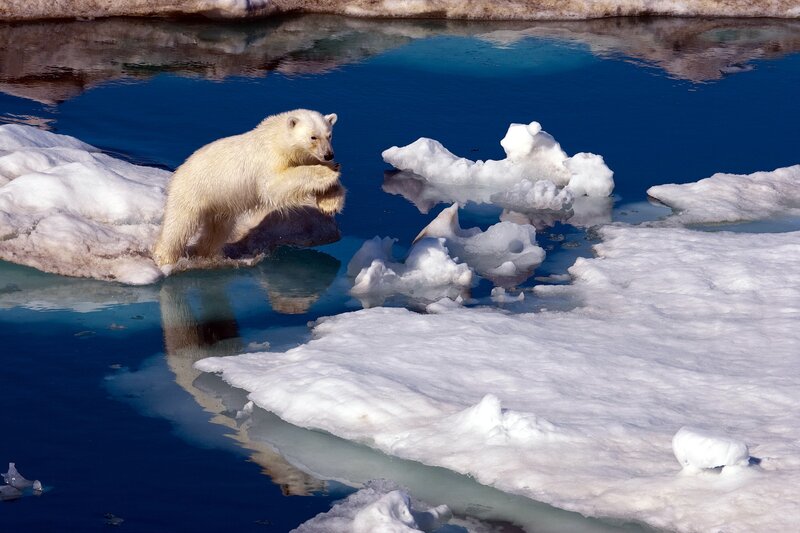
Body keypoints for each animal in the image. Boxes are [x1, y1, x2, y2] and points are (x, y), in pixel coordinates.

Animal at [152, 109, 345, 268]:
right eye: (313, 137)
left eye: (329, 135)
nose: (329, 154)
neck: (277, 138)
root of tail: (179, 170)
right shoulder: (269, 158)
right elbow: (275, 185)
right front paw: (328, 172)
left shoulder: (303, 156)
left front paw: (330, 203)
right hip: (192, 191)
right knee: (178, 225)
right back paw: (165, 258)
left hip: (220, 203)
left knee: (218, 229)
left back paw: (207, 254)